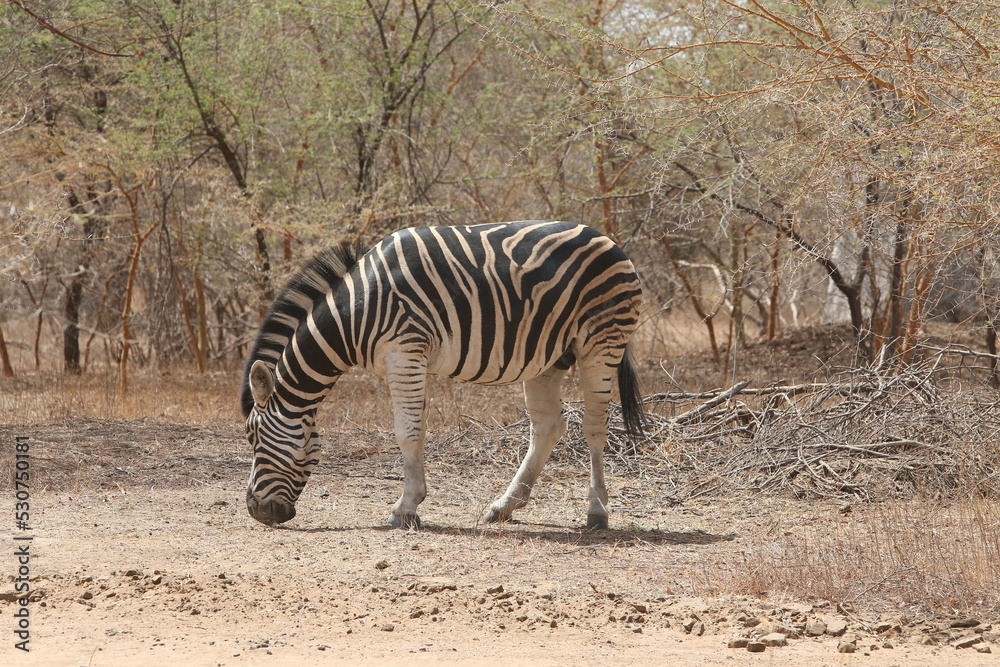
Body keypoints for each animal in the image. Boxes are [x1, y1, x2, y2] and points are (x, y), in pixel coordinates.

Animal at [242, 220, 644, 530]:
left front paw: (405, 508)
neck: (353, 313)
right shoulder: (409, 358)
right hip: (549, 357)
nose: (257, 512)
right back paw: (504, 506)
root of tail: (608, 240)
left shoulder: (404, 352)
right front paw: (412, 504)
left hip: (601, 341)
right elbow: (415, 430)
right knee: (548, 426)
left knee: (595, 425)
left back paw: (597, 513)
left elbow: (407, 432)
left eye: (253, 437)